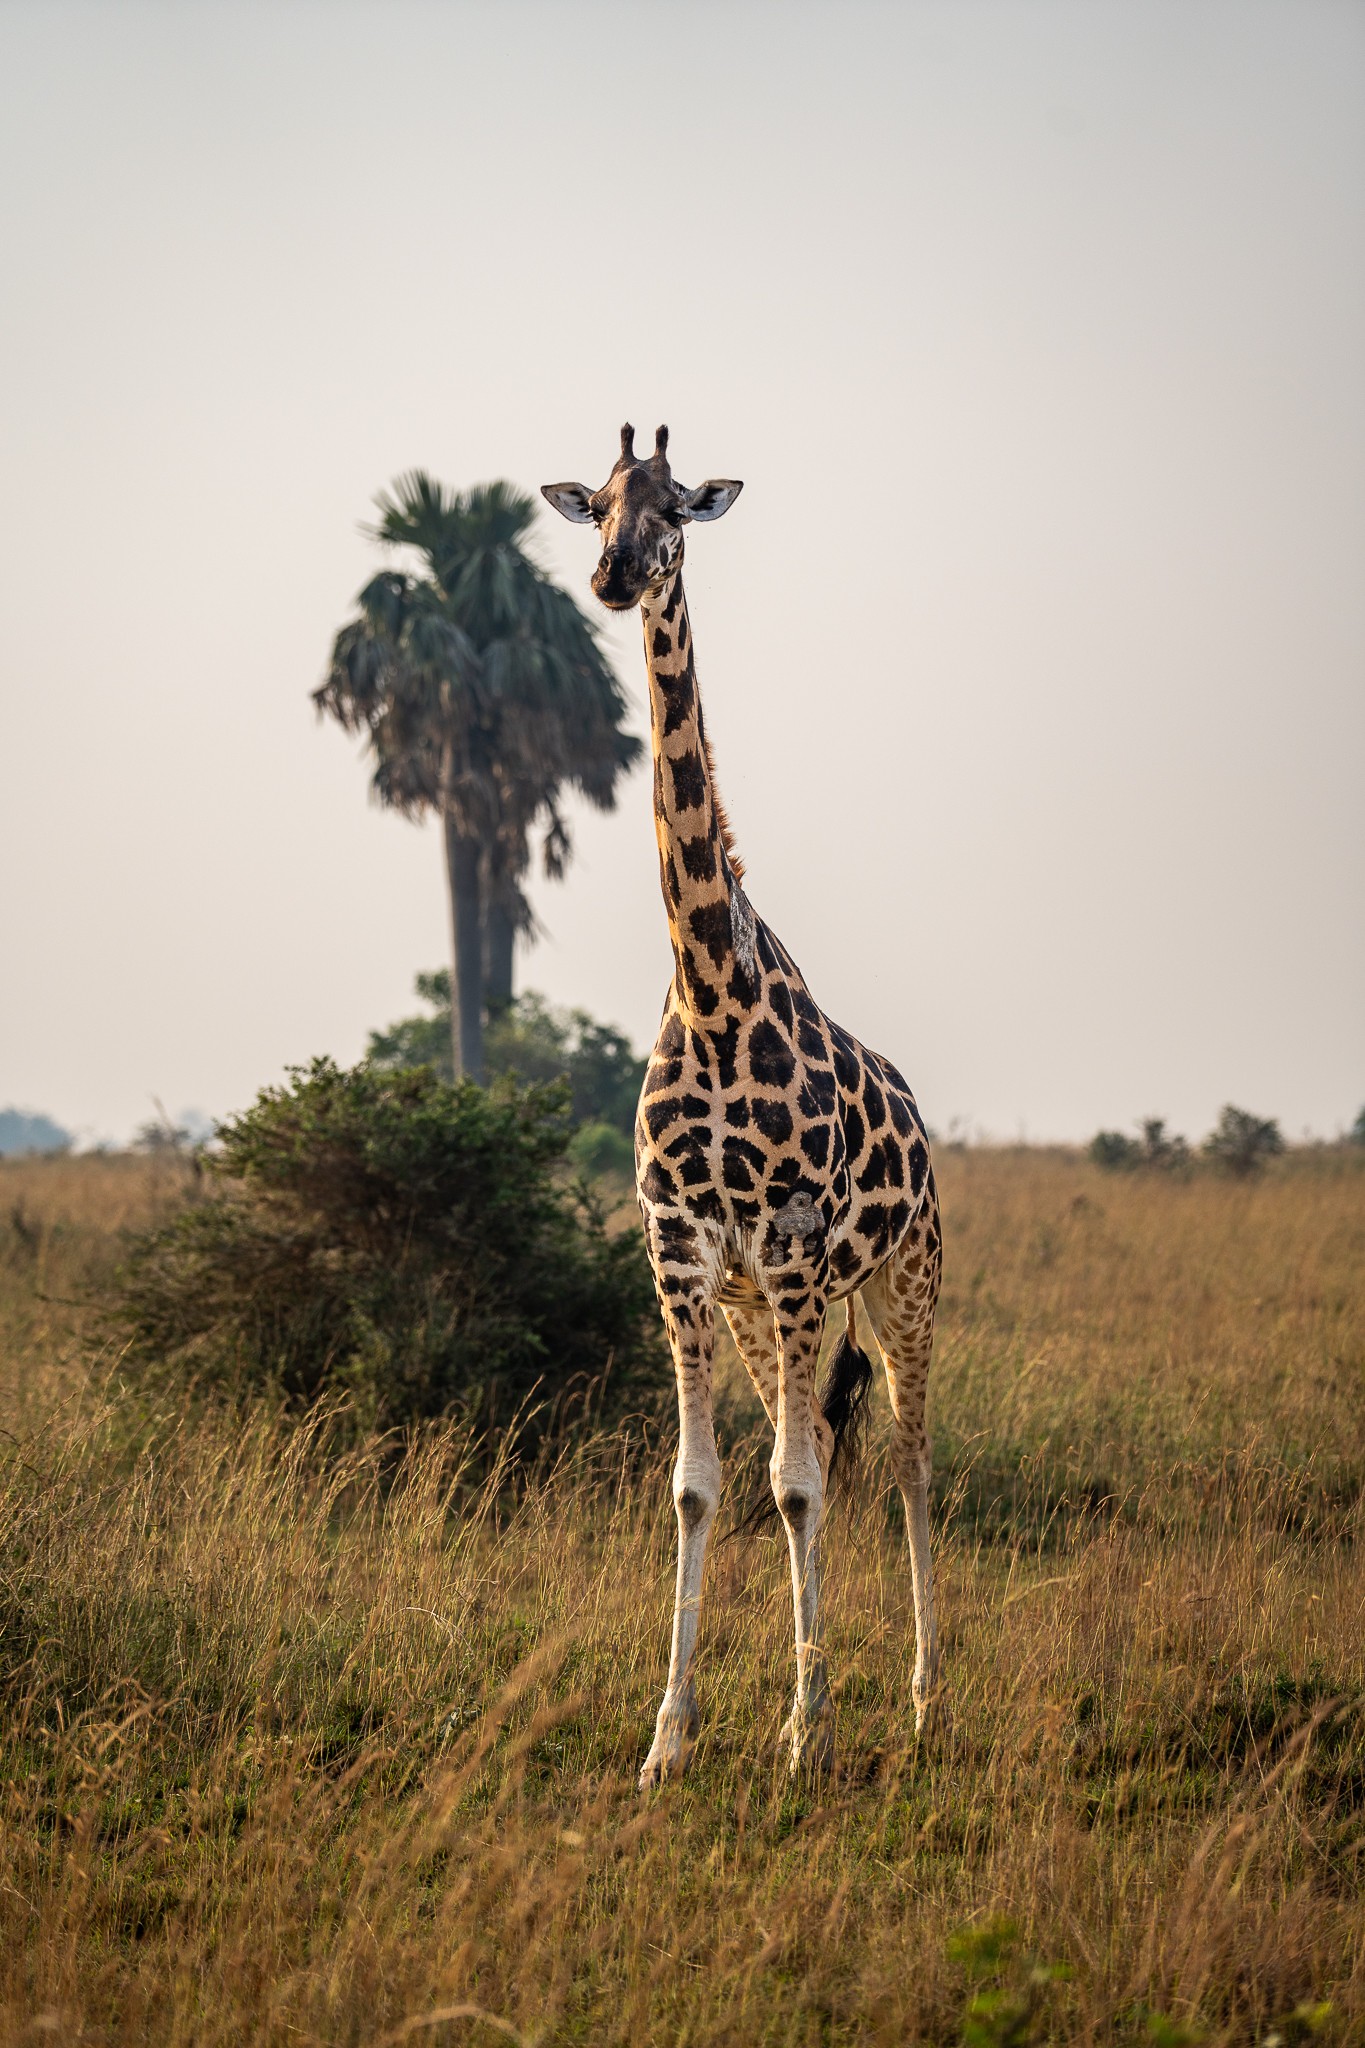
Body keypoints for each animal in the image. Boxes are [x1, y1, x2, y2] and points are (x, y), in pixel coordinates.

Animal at [543, 425, 942, 1786]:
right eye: (597, 505)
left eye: (678, 509)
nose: (615, 574)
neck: (711, 989)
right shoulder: (682, 1248)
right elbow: (704, 1483)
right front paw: (671, 1735)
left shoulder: (797, 1242)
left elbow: (803, 1485)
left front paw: (806, 1727)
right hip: (766, 1305)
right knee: (807, 1442)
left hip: (900, 1280)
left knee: (911, 1458)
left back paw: (923, 1697)